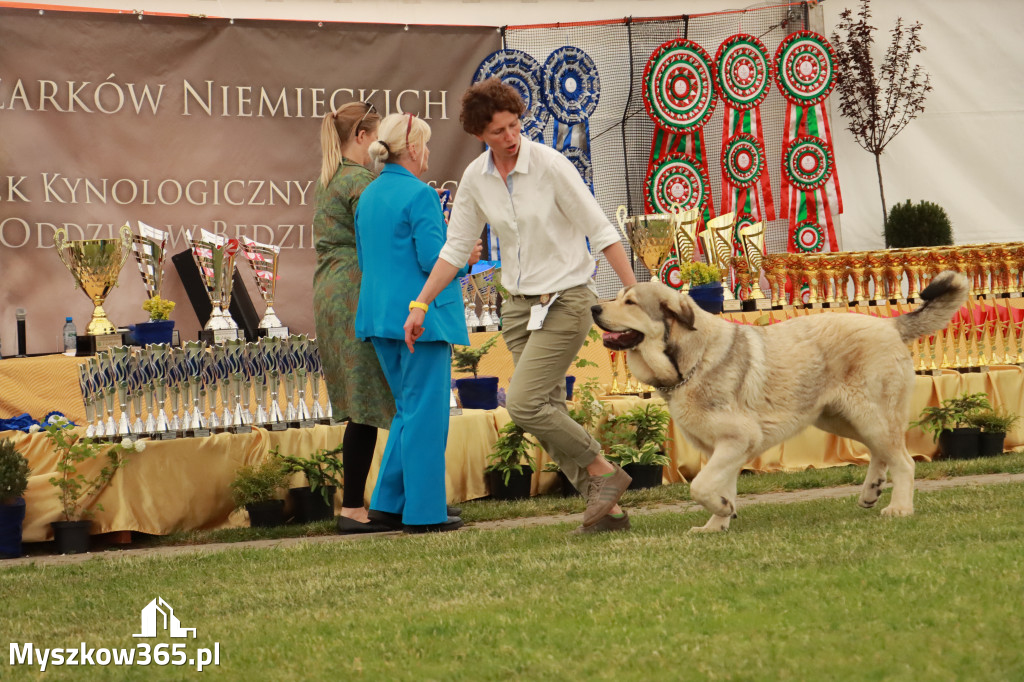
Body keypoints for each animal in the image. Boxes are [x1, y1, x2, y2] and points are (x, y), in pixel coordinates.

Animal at [593, 270, 966, 532]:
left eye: (630, 303)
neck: (689, 361)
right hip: (841, 419)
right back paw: (871, 490)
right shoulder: (723, 449)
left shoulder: (737, 440)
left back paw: (900, 507)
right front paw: (717, 523)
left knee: (904, 461)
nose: (595, 307)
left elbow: (699, 487)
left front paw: (722, 511)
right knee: (881, 453)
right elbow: (720, 486)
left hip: (869, 417)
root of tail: (890, 325)